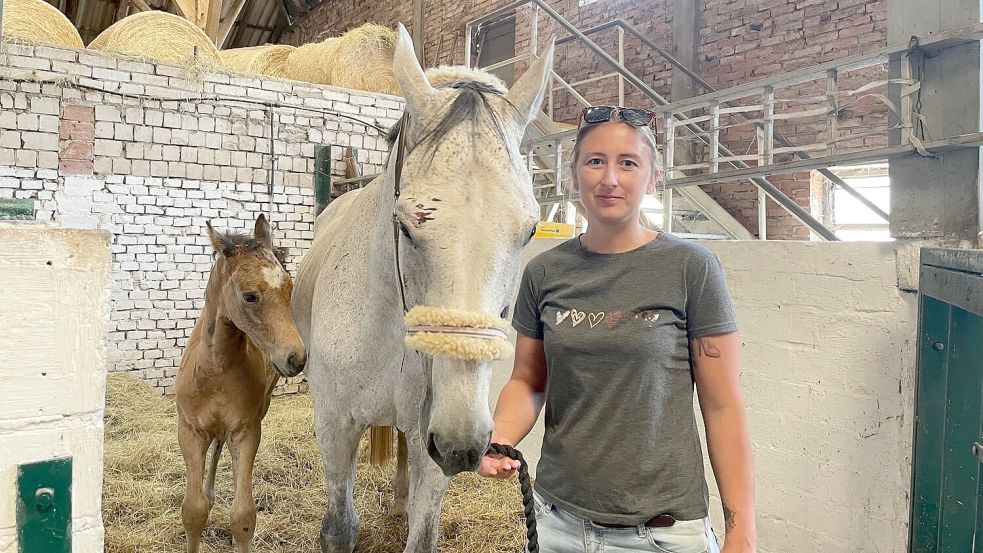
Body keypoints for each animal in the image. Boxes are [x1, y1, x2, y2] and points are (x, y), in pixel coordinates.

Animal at [177, 215, 306, 552]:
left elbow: (243, 517)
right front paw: (203, 502)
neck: (217, 370)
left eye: (289, 288)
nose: (296, 358)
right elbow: (193, 511)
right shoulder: (190, 431)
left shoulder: (246, 431)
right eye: (250, 295)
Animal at [290, 22, 552, 552]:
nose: (461, 442)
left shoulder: (432, 448)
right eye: (406, 225)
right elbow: (339, 528)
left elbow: (422, 528)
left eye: (529, 230)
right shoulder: (334, 427)